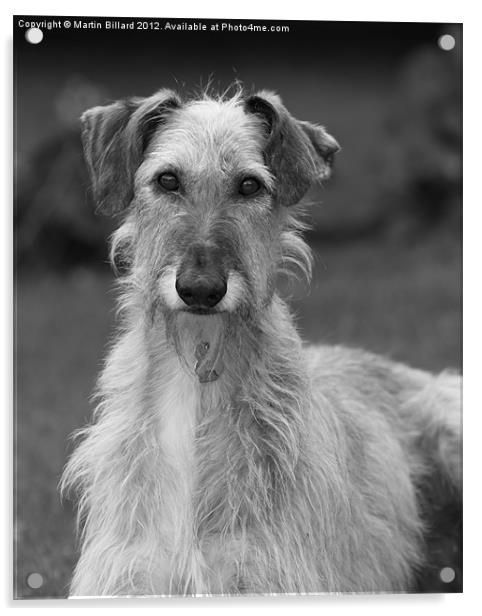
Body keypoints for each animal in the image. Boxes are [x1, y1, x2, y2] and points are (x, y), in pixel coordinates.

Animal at [59, 88, 460, 596]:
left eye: (249, 186)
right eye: (167, 179)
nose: (200, 290)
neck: (198, 372)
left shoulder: (268, 573)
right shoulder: (126, 576)